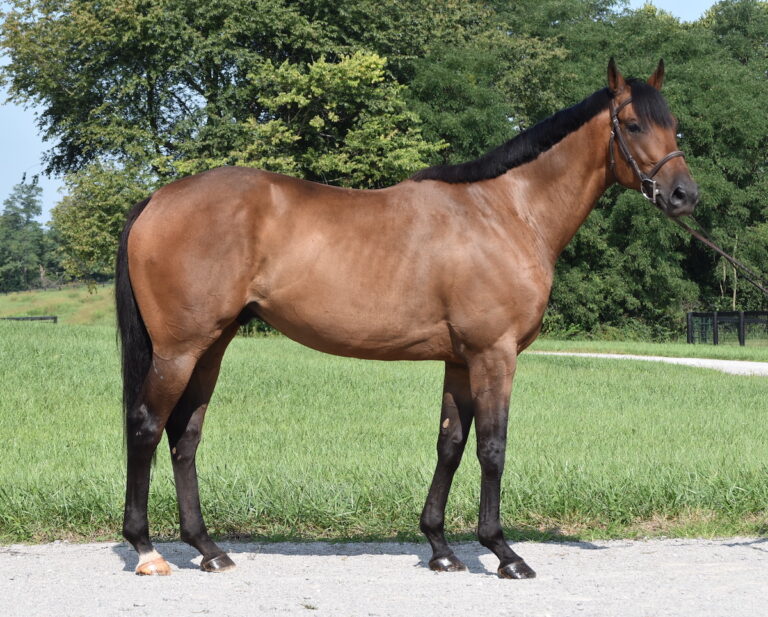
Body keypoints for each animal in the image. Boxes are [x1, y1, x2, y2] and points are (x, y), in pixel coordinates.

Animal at [116, 59, 698, 578]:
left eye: (673, 124)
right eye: (632, 124)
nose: (684, 195)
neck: (505, 213)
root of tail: (157, 199)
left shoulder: (460, 361)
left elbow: (450, 445)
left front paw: (440, 548)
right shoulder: (494, 355)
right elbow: (492, 448)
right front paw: (503, 553)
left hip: (211, 347)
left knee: (185, 437)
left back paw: (208, 549)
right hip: (179, 351)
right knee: (146, 427)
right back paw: (147, 550)